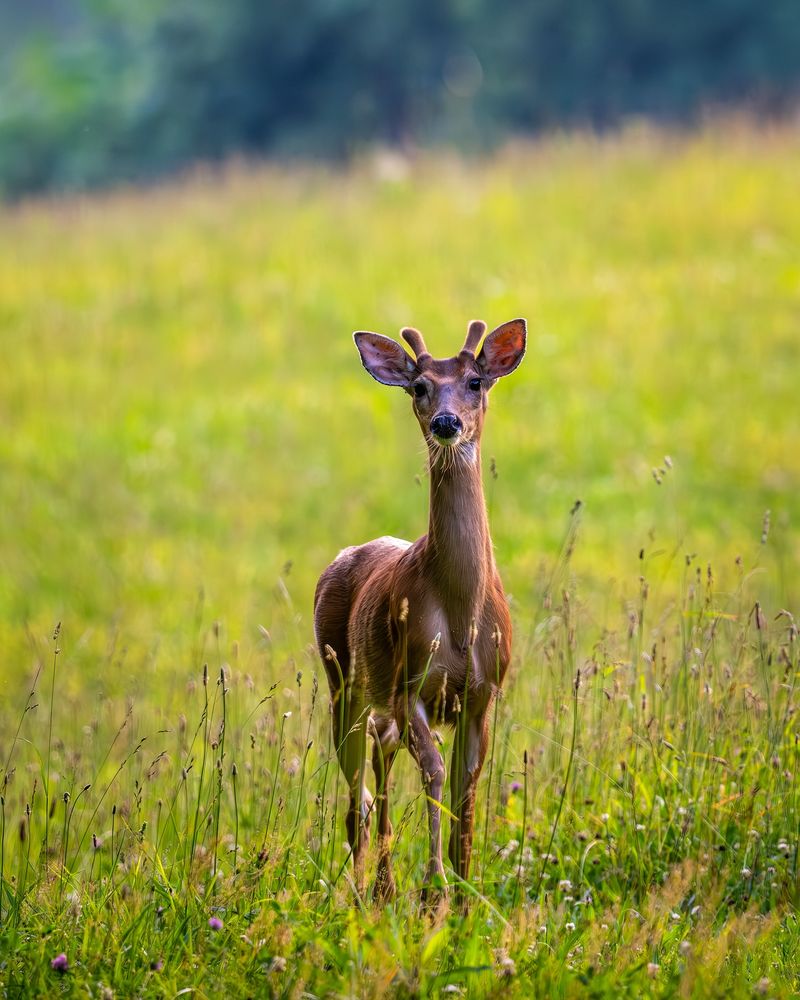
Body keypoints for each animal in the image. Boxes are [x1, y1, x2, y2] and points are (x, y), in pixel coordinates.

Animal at [314, 317, 526, 905]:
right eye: (418, 387)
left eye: (476, 381)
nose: (446, 422)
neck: (459, 617)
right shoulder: (411, 683)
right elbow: (433, 774)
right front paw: (435, 890)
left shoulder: (483, 694)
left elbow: (465, 791)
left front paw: (465, 887)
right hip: (343, 681)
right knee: (356, 797)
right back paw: (366, 890)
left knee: (380, 758)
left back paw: (384, 887)